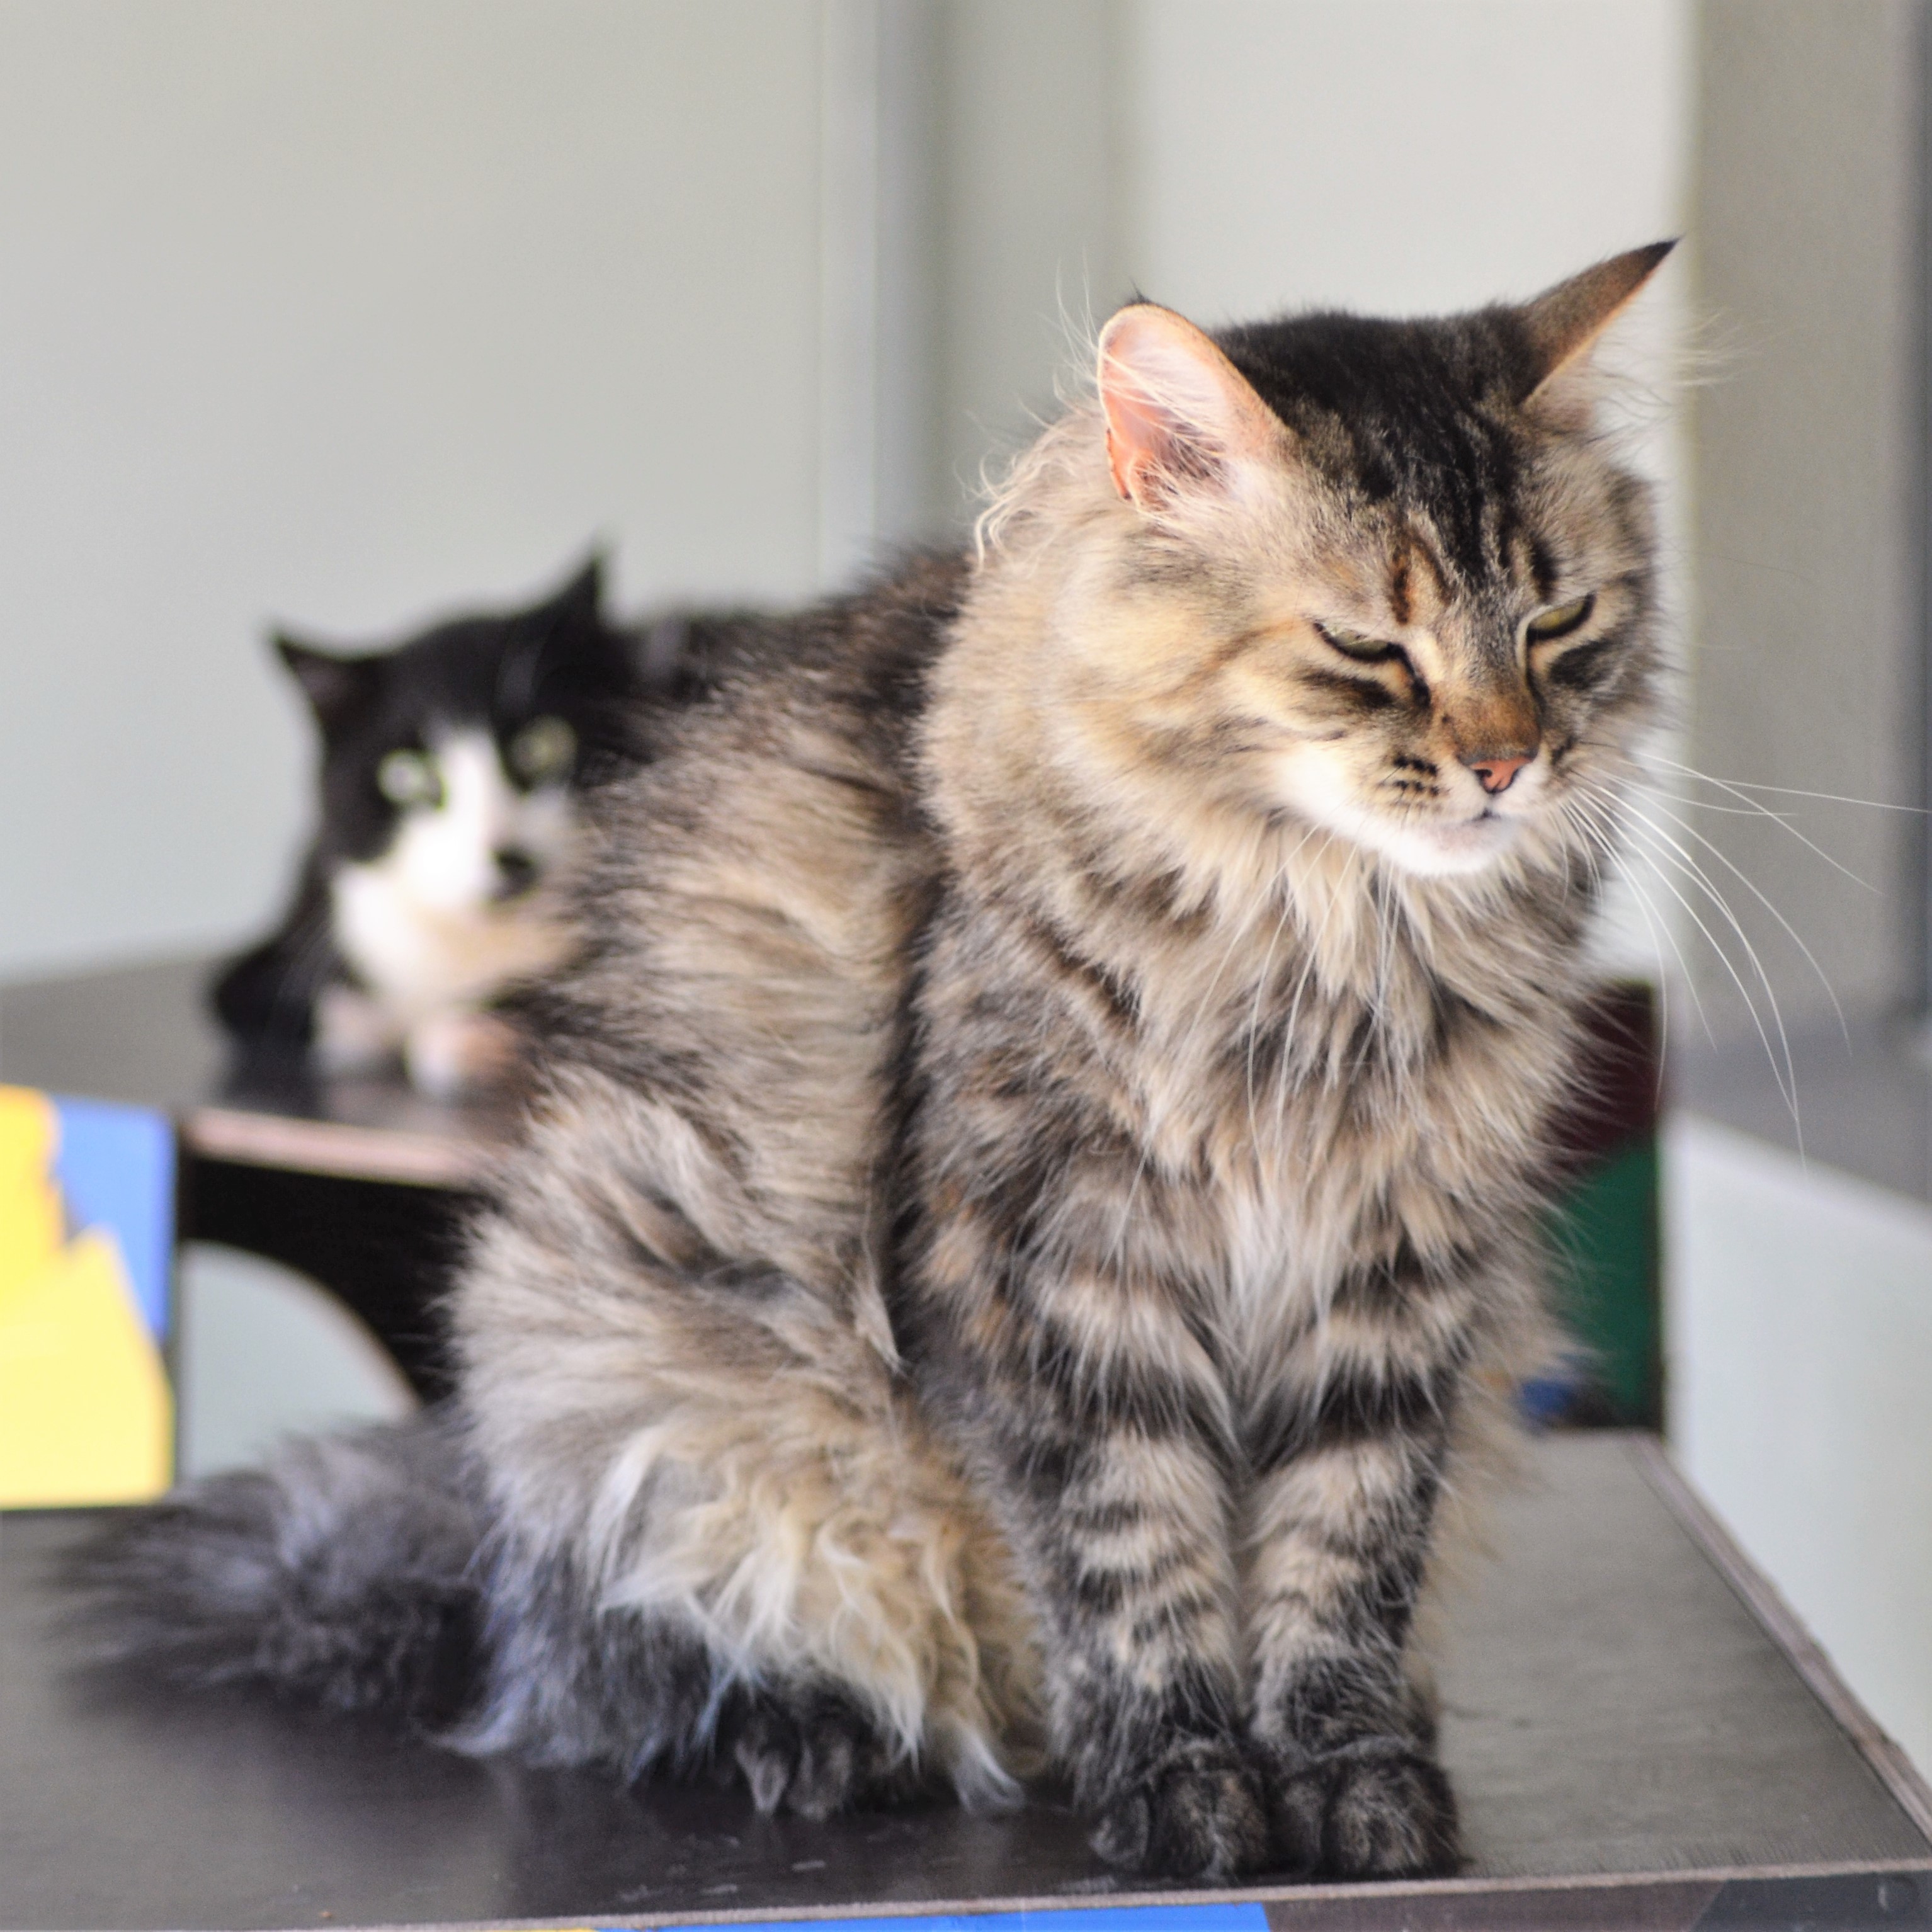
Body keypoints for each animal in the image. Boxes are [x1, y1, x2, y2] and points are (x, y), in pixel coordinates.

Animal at [210, 555, 717, 1097]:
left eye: (541, 745)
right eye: (407, 775)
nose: (507, 853)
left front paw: (471, 1032)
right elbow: (233, 994)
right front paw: (354, 1016)